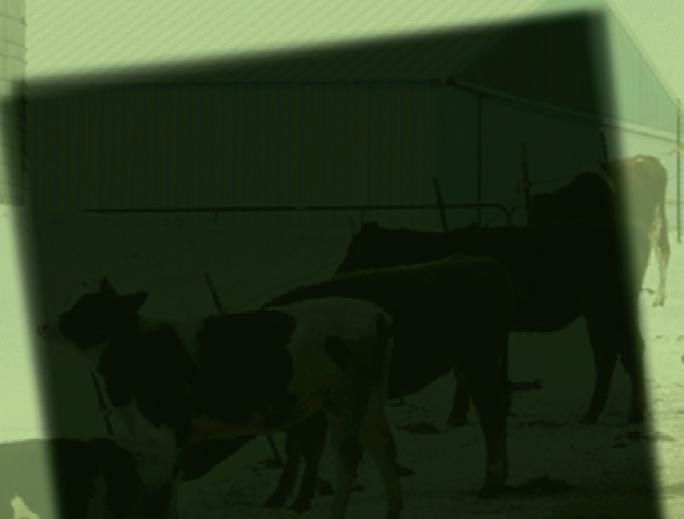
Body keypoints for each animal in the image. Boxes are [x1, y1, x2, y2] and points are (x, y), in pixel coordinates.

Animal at [40, 278, 402, 519]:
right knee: (383, 446)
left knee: (350, 457)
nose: (44, 325)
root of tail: (377, 313)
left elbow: (167, 489)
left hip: (346, 397)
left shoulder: (166, 431)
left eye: (82, 311)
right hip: (362, 398)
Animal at [261, 254, 513, 512]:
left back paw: (490, 485)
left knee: (491, 414)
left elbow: (305, 449)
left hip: (477, 364)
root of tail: (486, 265)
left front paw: (297, 500)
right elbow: (296, 448)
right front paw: (280, 498)